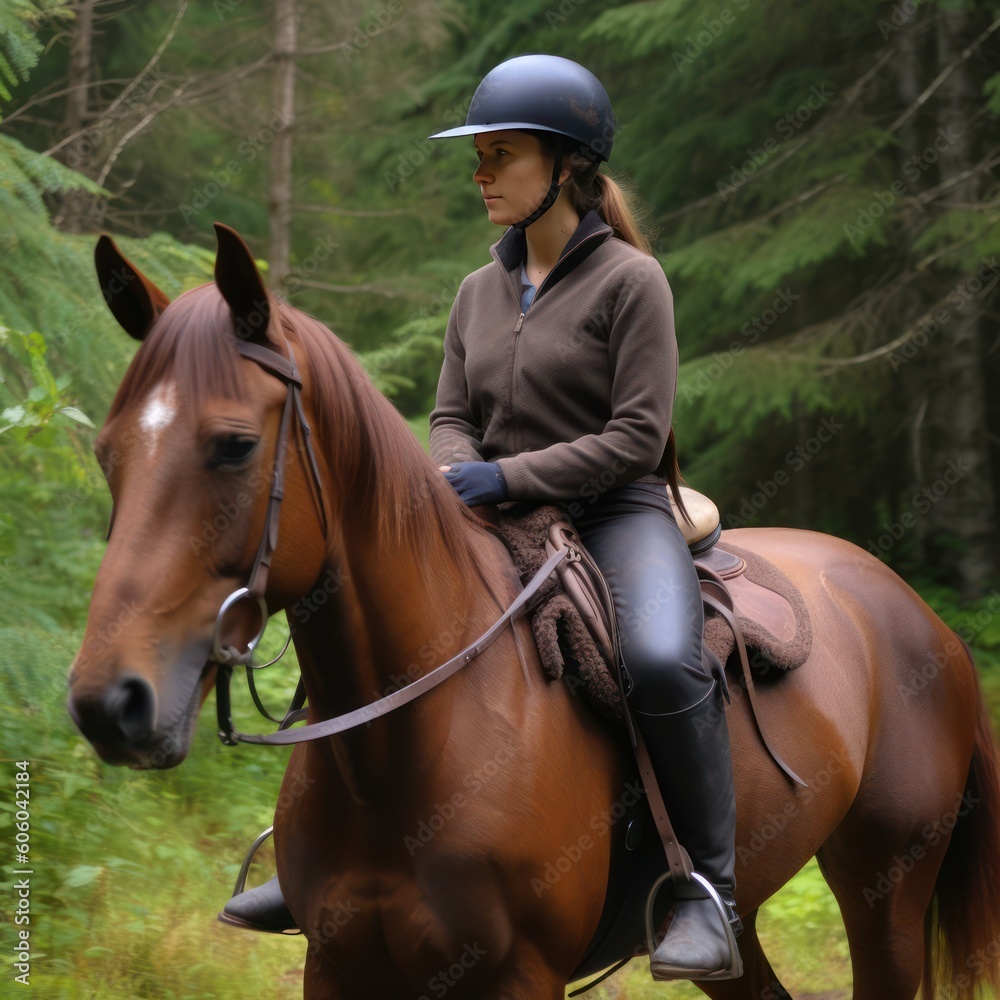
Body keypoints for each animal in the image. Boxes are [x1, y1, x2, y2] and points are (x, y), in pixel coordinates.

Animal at [68, 223, 1000, 1000]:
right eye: (106, 451)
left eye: (233, 446)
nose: (110, 703)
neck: (405, 749)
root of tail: (918, 615)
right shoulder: (336, 966)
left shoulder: (517, 975)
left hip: (887, 888)